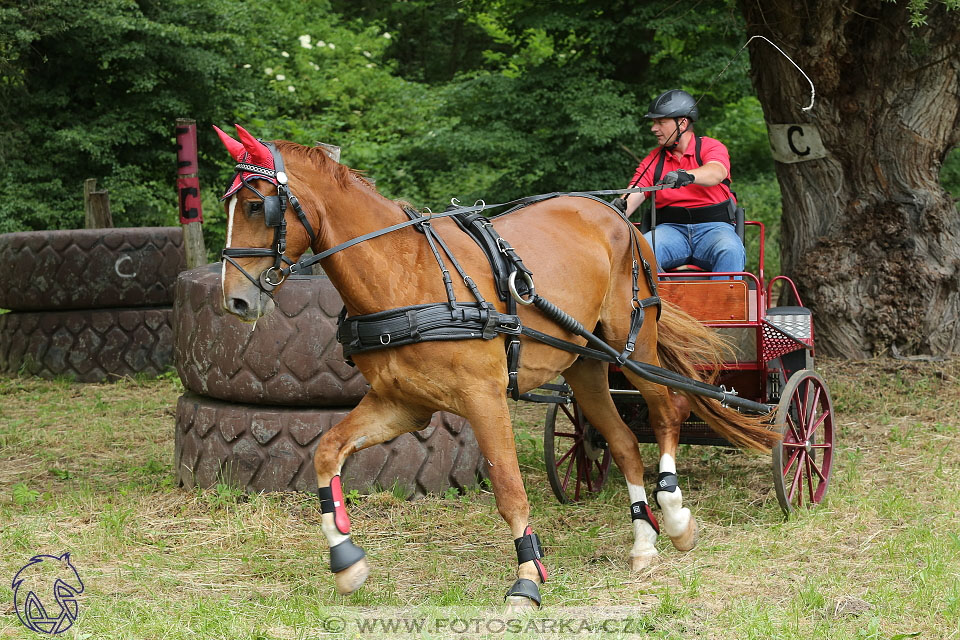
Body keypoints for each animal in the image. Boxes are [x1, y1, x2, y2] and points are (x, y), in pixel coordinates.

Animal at [214, 126, 776, 608]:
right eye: (230, 203)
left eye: (256, 205)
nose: (235, 301)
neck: (405, 274)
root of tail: (617, 216)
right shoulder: (401, 405)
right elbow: (327, 451)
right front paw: (346, 560)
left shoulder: (483, 399)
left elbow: (508, 487)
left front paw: (529, 578)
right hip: (585, 365)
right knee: (620, 442)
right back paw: (642, 542)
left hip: (629, 347)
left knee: (666, 412)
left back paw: (675, 517)